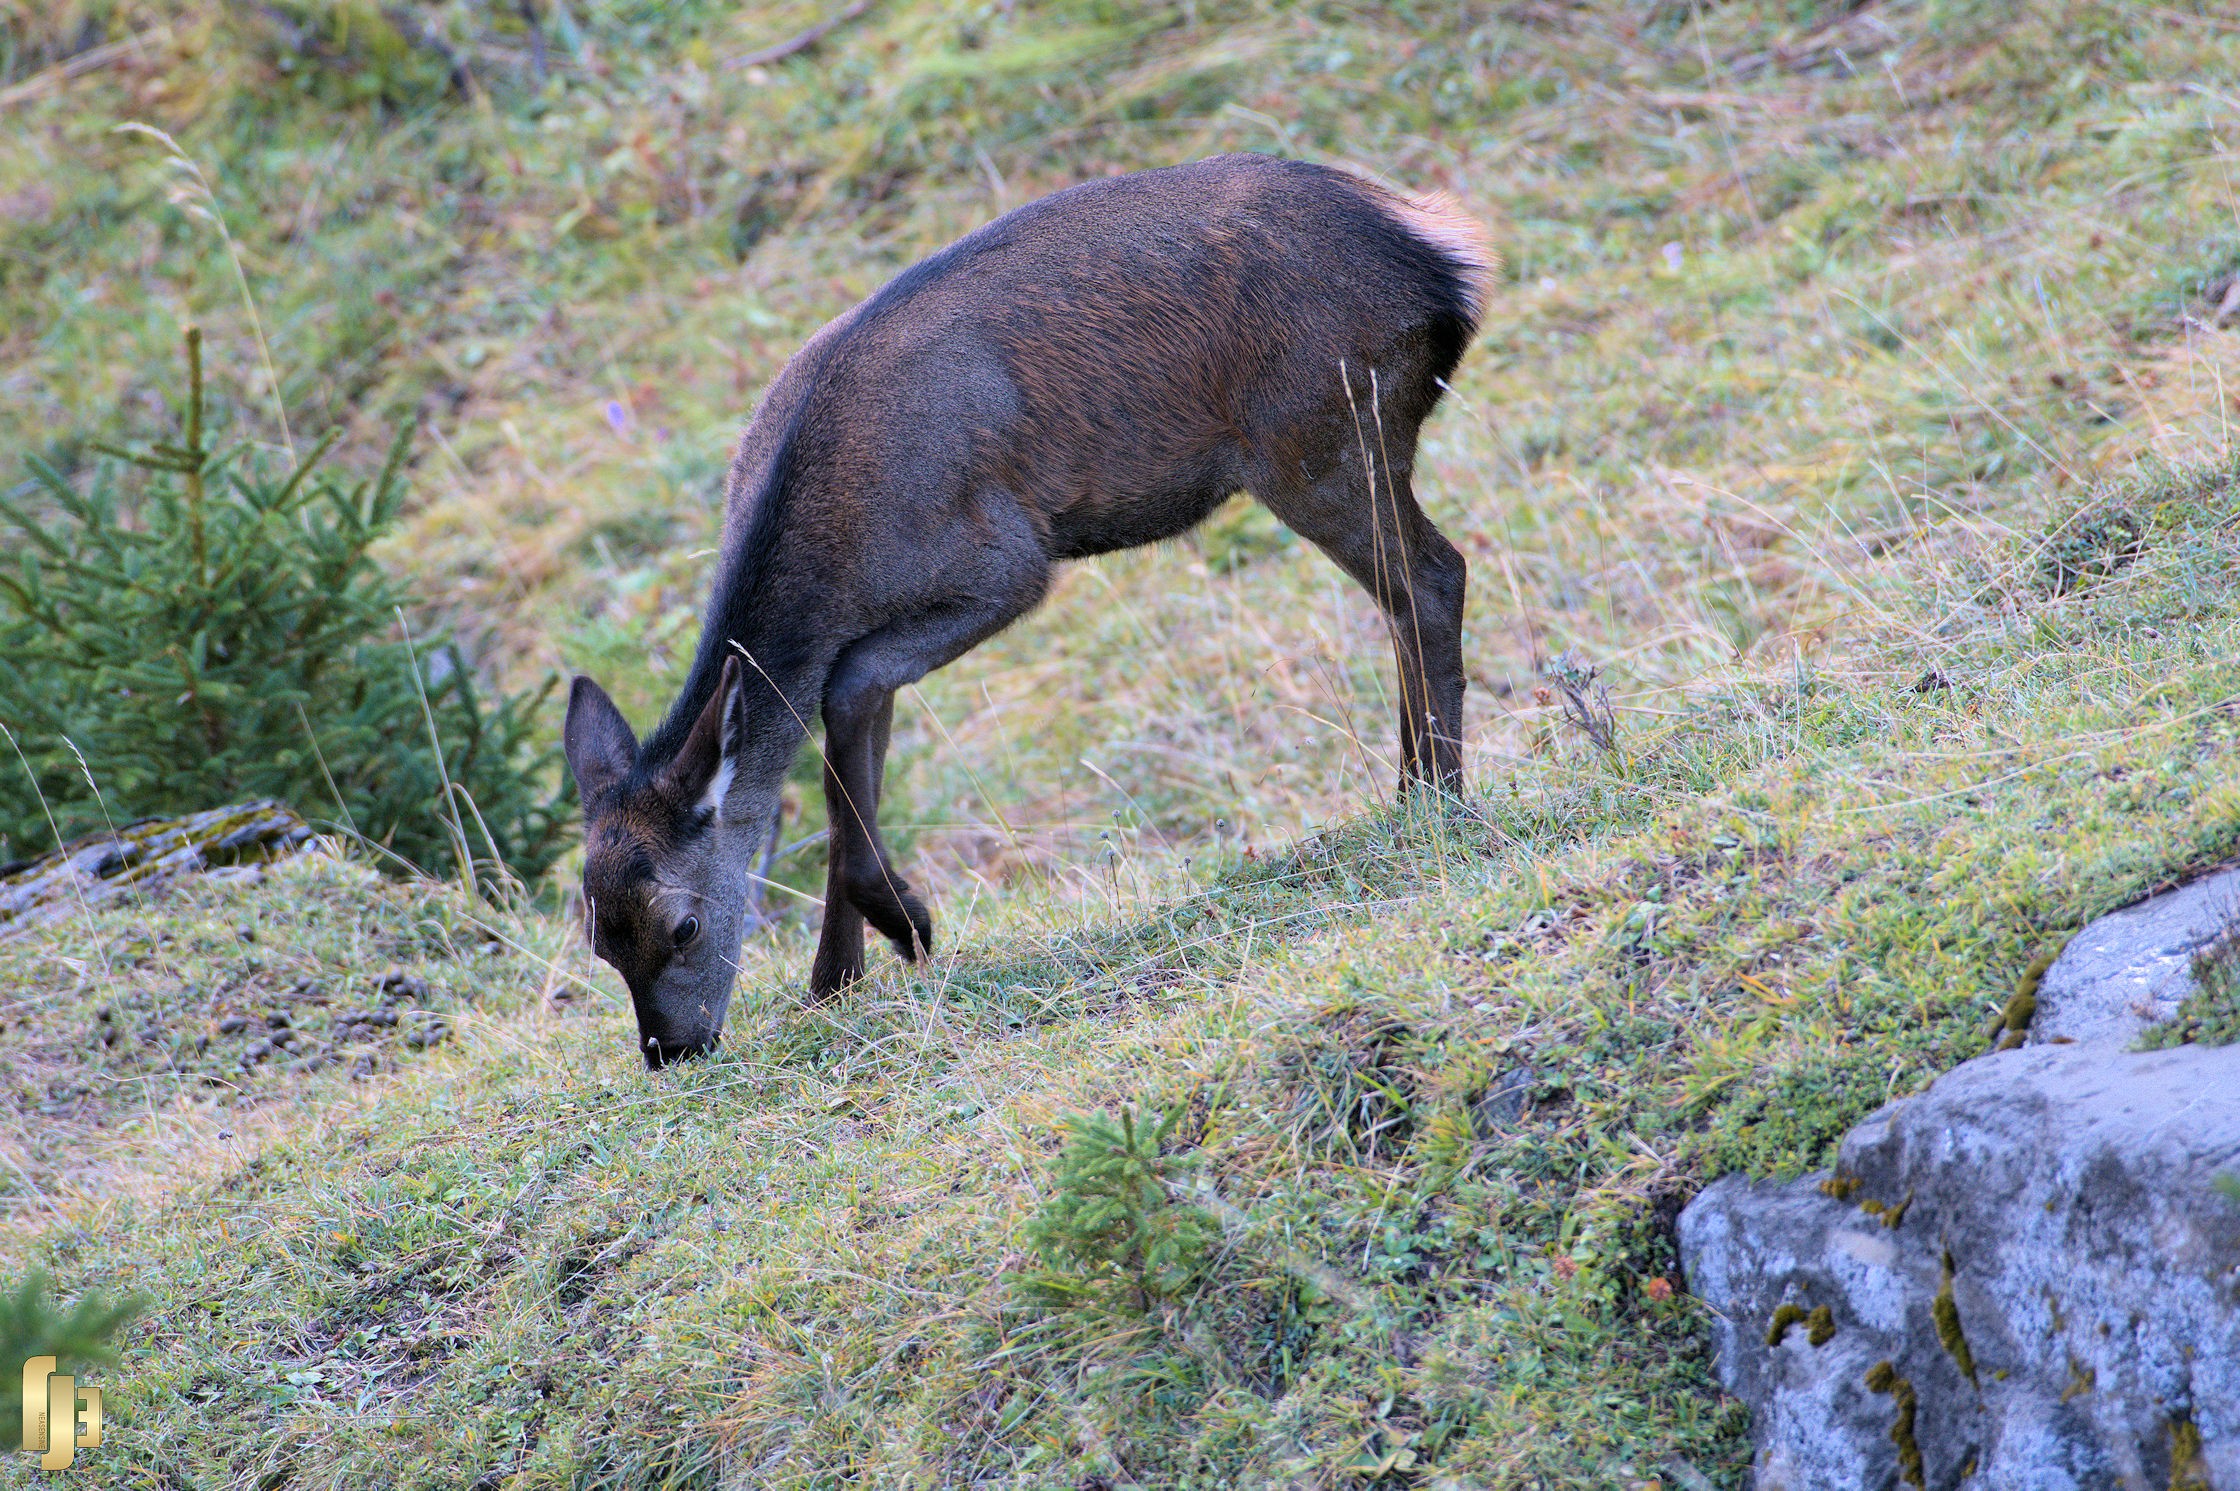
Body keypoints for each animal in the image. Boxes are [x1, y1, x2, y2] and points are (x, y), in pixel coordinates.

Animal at [568, 151, 1496, 1061]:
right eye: (600, 939)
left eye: (682, 926)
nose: (670, 1049)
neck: (838, 548)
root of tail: (1445, 260)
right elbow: (850, 747)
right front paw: (835, 978)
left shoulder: (1003, 562)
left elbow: (848, 686)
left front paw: (907, 925)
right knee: (1408, 592)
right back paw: (1413, 786)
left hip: (1317, 431)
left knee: (1432, 576)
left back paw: (1434, 798)